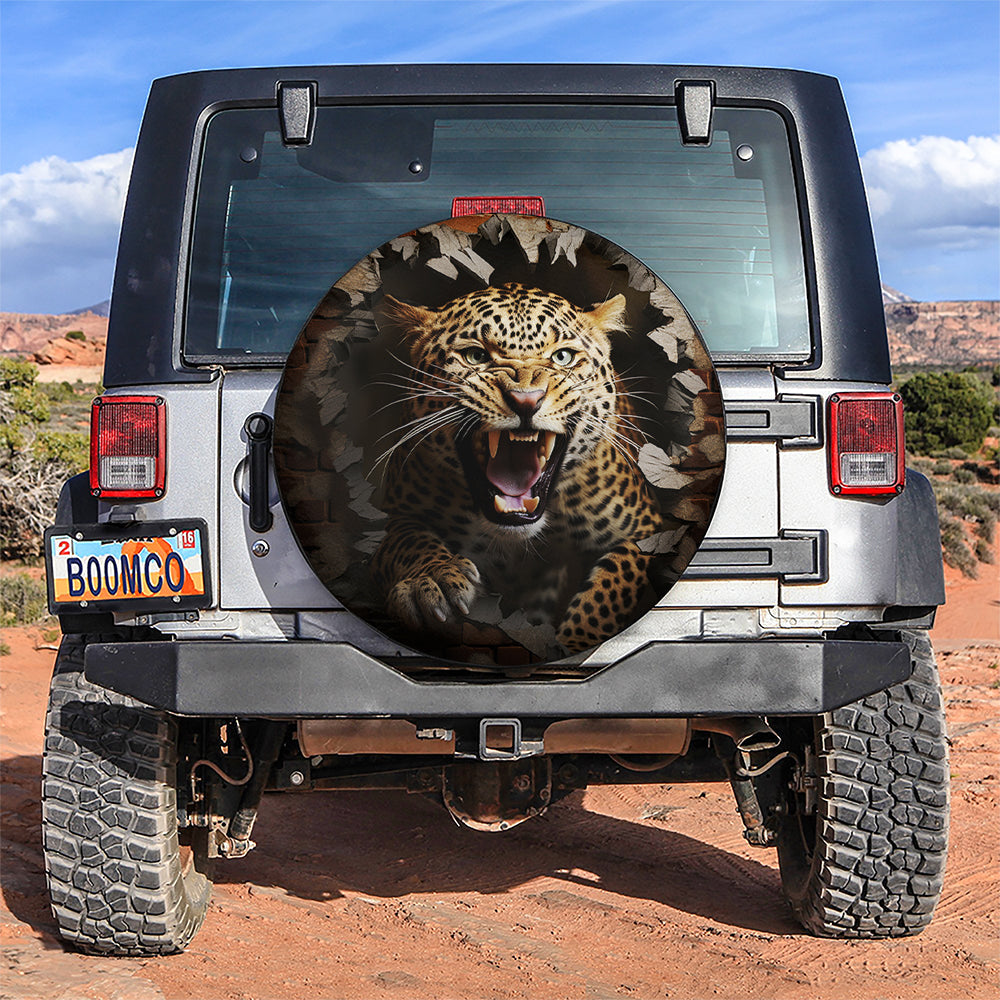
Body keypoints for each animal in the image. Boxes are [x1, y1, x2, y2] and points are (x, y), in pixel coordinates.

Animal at [370, 282, 667, 655]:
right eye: (475, 356)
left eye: (562, 357)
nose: (527, 400)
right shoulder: (399, 517)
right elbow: (409, 541)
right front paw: (433, 578)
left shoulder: (646, 532)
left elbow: (607, 593)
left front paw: (576, 641)